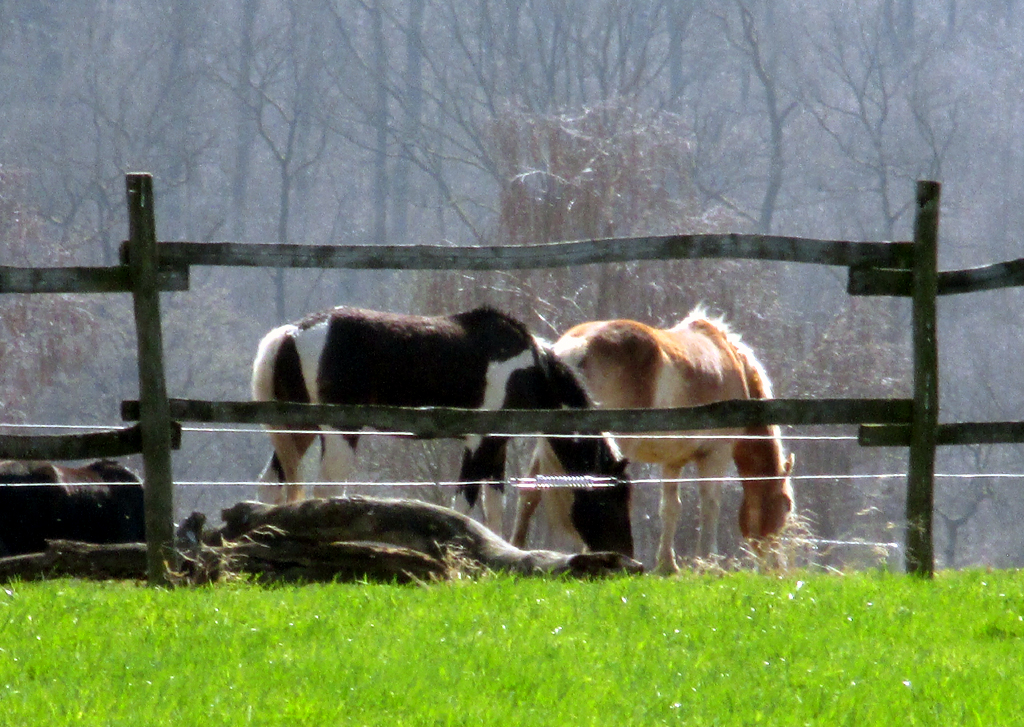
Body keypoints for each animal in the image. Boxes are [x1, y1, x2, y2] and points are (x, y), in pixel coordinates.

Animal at [251, 305, 634, 556]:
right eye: (612, 498)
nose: (625, 555)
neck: (530, 370)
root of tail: (291, 333)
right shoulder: (479, 444)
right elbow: (461, 508)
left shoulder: (495, 446)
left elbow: (494, 507)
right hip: (338, 431)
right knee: (326, 491)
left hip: (298, 430)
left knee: (271, 486)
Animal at [510, 308, 795, 574]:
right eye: (786, 505)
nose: (776, 567)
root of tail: (575, 350)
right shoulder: (716, 455)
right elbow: (709, 505)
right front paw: (707, 563)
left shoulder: (673, 461)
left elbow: (670, 509)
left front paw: (668, 566)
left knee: (529, 492)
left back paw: (517, 551)